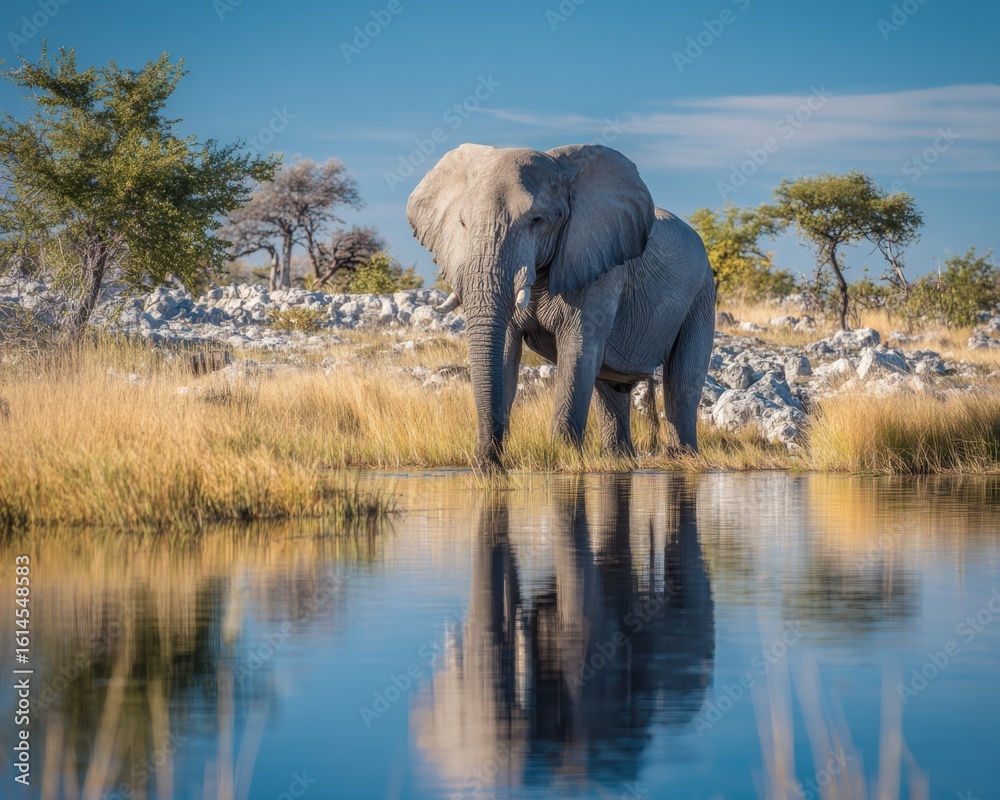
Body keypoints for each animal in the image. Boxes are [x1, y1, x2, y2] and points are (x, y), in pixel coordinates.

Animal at [406, 143, 716, 469]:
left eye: (537, 220)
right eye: (463, 223)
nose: (485, 459)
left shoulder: (599, 268)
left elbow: (576, 350)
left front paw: (562, 460)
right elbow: (505, 350)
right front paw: (490, 465)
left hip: (701, 295)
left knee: (681, 383)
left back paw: (682, 458)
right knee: (611, 388)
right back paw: (618, 459)